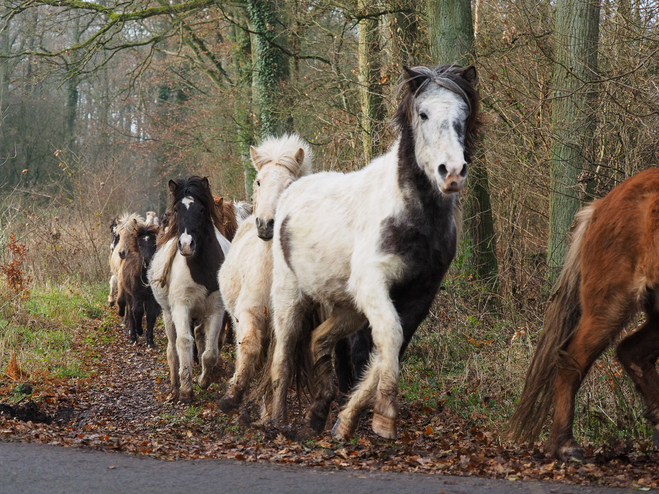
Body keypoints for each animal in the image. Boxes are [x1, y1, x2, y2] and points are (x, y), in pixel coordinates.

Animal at [148, 177, 231, 402]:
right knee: (172, 348)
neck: (200, 268)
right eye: (177, 209)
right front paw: (186, 390)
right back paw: (175, 387)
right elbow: (184, 342)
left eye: (201, 209)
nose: (186, 245)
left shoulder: (216, 310)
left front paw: (203, 380)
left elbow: (210, 350)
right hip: (168, 314)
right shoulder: (180, 307)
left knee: (201, 337)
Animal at [218, 133, 314, 412]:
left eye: (290, 184)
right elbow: (249, 346)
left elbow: (279, 363)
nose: (266, 224)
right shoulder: (248, 312)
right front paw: (233, 395)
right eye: (259, 181)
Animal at [266, 63, 482, 438]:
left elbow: (390, 349)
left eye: (464, 114)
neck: (414, 218)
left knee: (320, 340)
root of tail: (291, 192)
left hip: (347, 305)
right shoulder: (374, 285)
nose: (452, 173)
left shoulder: (419, 295)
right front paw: (384, 415)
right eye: (423, 114)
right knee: (284, 353)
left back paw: (318, 414)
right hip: (290, 296)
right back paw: (276, 421)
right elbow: (389, 340)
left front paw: (348, 421)